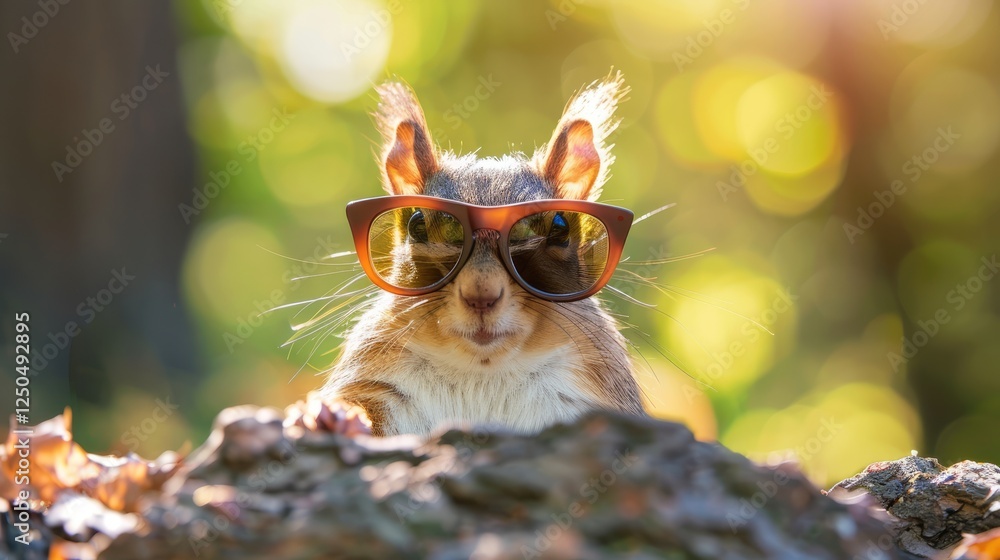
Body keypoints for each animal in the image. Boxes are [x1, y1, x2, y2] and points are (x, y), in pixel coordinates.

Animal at [322, 73, 648, 438]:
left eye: (560, 228)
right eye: (417, 225)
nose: (481, 296)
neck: (482, 374)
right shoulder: (374, 383)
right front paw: (333, 417)